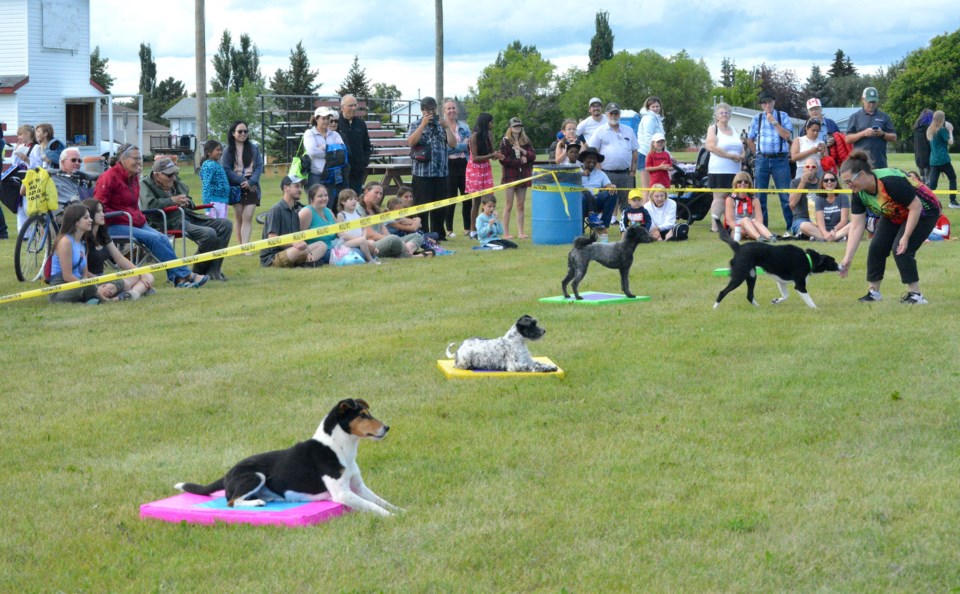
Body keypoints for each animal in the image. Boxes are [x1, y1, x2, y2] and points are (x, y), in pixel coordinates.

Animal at [176, 398, 402, 520]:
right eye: (363, 415)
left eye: (368, 413)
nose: (387, 427)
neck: (339, 448)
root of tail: (227, 474)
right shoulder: (343, 494)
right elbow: (374, 507)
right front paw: (392, 518)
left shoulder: (358, 487)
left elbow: (381, 501)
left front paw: (401, 510)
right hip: (256, 475)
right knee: (232, 502)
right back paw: (257, 502)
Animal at [712, 219, 840, 310]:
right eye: (833, 261)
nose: (842, 266)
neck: (807, 259)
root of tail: (738, 247)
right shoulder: (799, 285)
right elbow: (808, 299)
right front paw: (816, 308)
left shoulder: (781, 282)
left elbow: (786, 295)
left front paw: (776, 301)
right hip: (739, 276)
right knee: (722, 292)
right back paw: (715, 308)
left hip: (751, 275)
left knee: (749, 295)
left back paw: (758, 307)